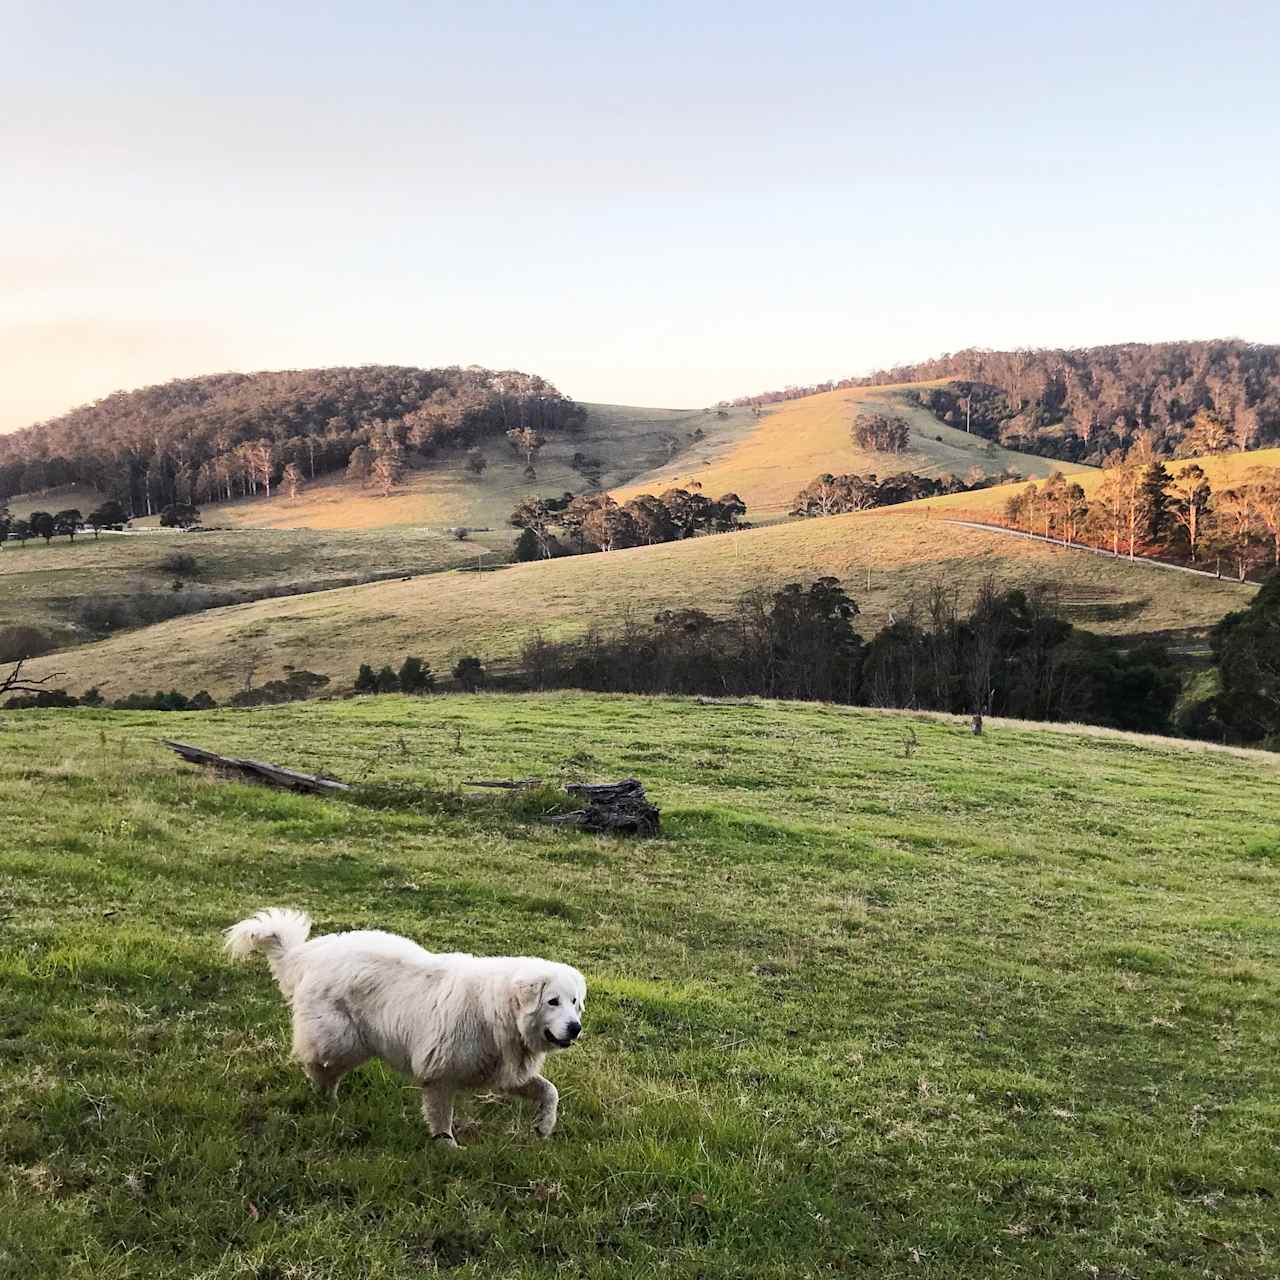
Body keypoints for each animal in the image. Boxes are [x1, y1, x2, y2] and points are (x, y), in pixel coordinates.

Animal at [226, 906, 588, 1146]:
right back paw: (324, 1098)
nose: (576, 1028)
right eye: (552, 1001)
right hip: (342, 1039)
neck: (497, 1007)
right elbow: (441, 1117)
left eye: (574, 1002)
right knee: (320, 1066)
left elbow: (550, 1092)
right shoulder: (440, 1075)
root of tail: (309, 953)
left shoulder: (505, 1073)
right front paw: (447, 1148)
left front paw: (544, 1127)